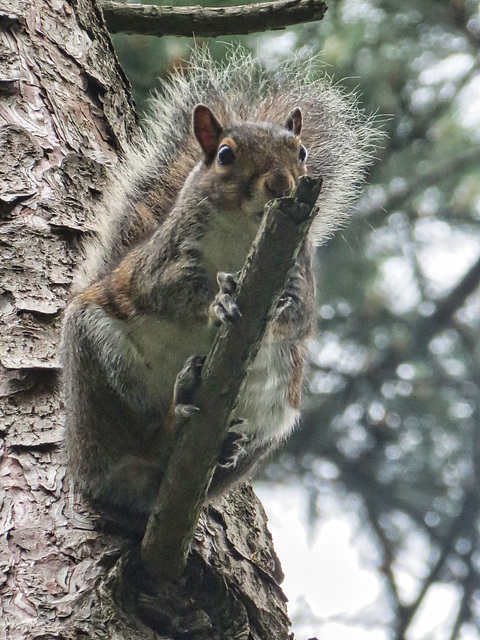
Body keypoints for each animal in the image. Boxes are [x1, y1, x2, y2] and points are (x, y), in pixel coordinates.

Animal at [61, 47, 376, 516]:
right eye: (225, 155)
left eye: (301, 152)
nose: (281, 183)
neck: (246, 234)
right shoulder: (166, 259)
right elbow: (167, 289)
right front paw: (217, 304)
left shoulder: (300, 271)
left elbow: (299, 316)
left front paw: (274, 311)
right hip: (97, 368)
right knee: (128, 446)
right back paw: (172, 415)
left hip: (272, 417)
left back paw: (212, 446)